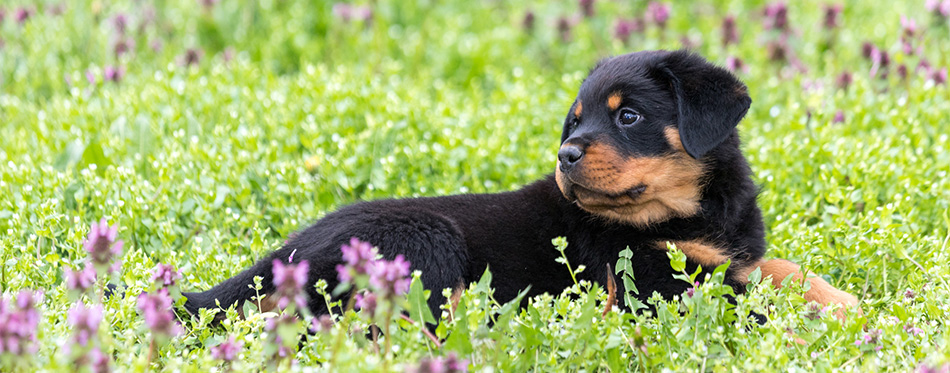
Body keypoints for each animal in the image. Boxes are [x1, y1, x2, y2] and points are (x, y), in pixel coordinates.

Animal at [184, 50, 864, 320]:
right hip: (425, 240)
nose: (565, 155)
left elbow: (777, 268)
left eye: (627, 116)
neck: (684, 212)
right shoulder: (653, 282)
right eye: (575, 120)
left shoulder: (727, 252)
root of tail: (284, 254)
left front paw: (843, 302)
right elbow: (743, 298)